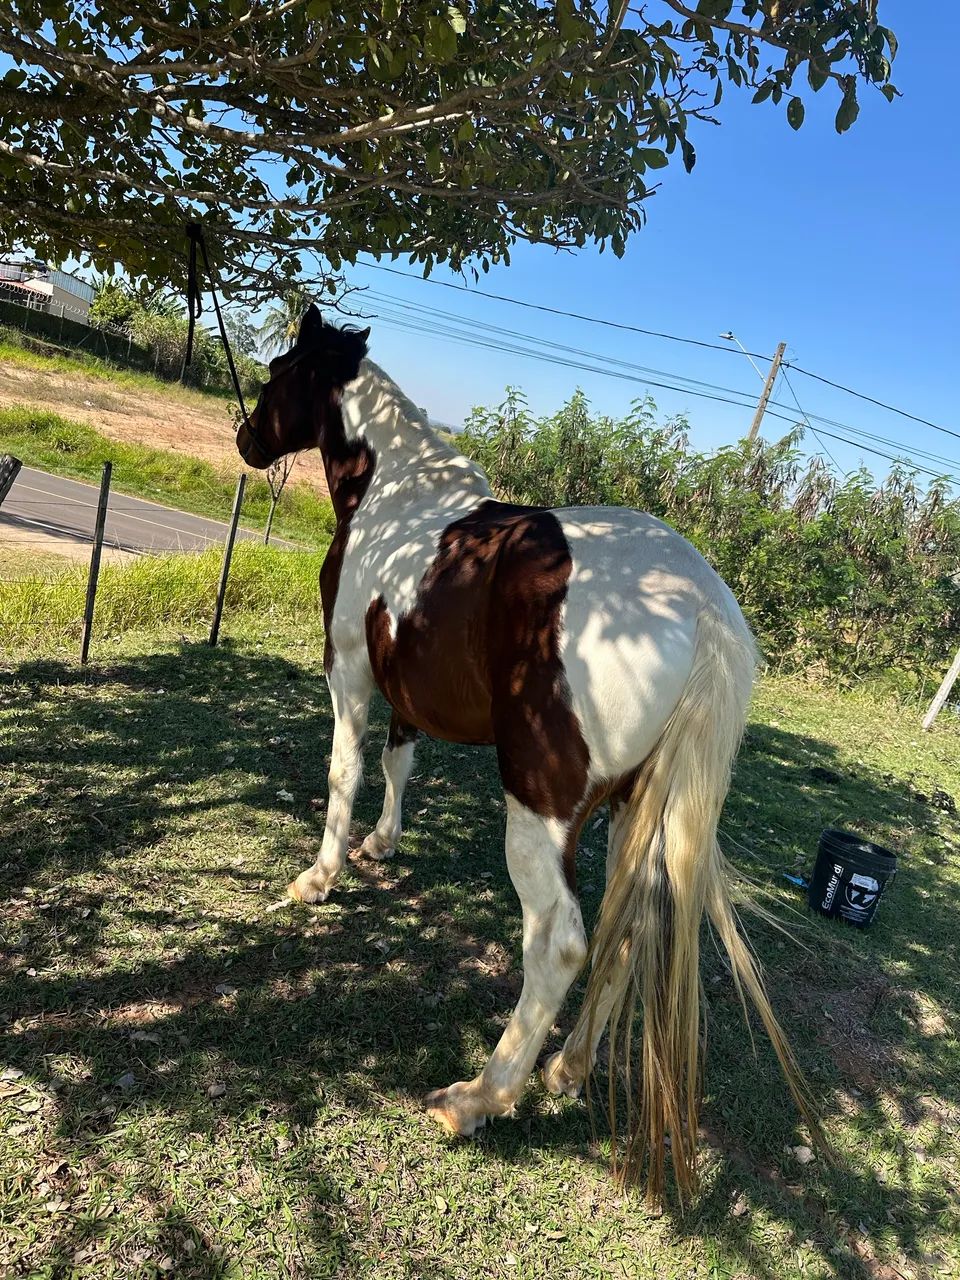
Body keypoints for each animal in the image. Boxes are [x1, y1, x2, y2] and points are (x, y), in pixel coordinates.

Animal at [236, 305, 814, 1202]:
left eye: (276, 372)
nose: (244, 439)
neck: (399, 499)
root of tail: (700, 605)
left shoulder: (352, 674)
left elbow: (345, 773)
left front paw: (320, 877)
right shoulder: (410, 695)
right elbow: (399, 764)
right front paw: (382, 844)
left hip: (540, 812)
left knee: (561, 943)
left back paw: (477, 1097)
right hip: (633, 814)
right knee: (626, 930)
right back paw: (567, 1069)